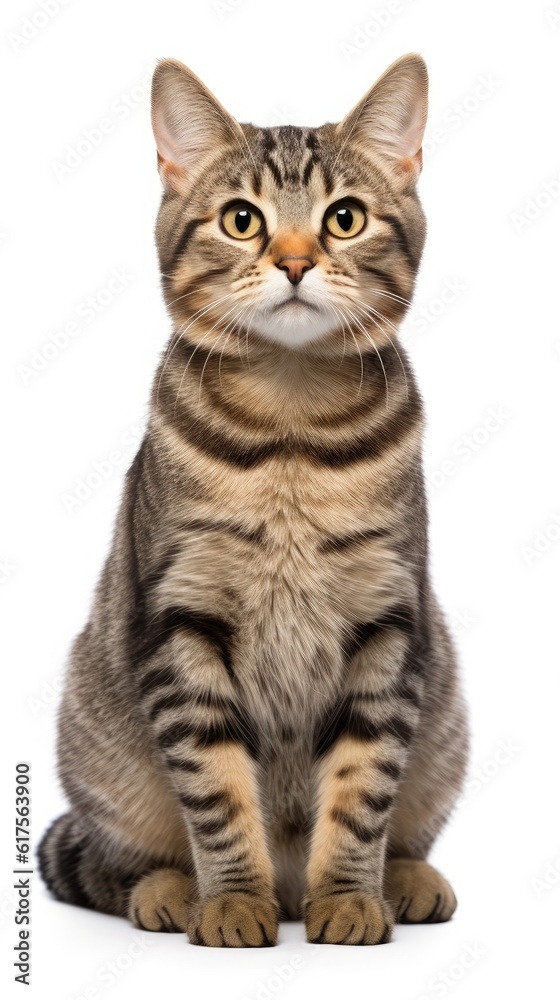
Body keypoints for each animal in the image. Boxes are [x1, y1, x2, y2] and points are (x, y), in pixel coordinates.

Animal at [39, 52, 468, 944]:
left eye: (345, 219)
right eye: (242, 220)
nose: (296, 262)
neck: (290, 432)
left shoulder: (388, 620)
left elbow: (363, 788)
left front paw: (350, 897)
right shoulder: (181, 618)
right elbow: (215, 790)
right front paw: (233, 899)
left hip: (446, 726)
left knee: (405, 823)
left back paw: (403, 879)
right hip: (99, 748)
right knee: (112, 864)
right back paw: (171, 891)